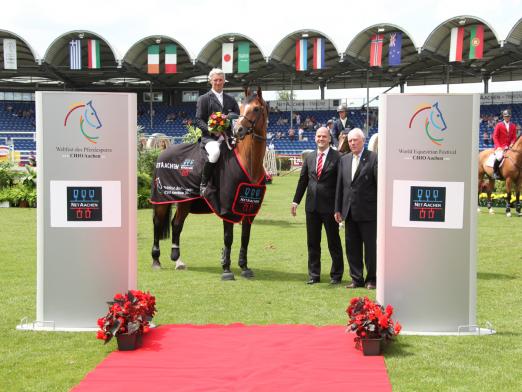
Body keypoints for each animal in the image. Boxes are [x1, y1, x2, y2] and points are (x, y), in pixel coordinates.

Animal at [148, 87, 266, 280]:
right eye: (241, 108)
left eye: (256, 108)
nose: (239, 130)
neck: (248, 162)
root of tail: (163, 150)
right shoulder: (227, 208)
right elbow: (228, 238)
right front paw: (226, 269)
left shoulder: (248, 208)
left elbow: (245, 238)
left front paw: (244, 267)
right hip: (161, 200)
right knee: (158, 224)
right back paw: (156, 260)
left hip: (185, 201)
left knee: (176, 225)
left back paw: (178, 260)